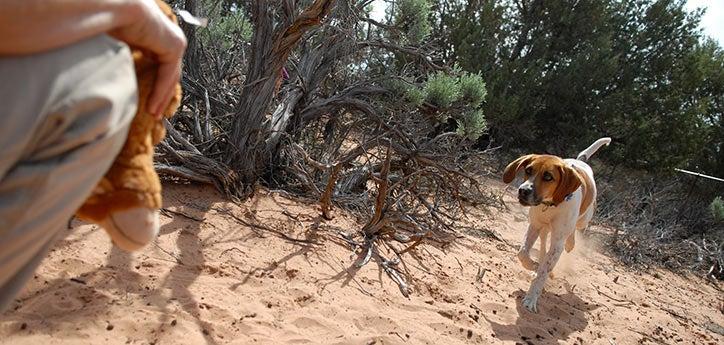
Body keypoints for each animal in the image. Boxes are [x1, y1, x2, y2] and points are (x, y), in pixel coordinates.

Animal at [504, 136, 612, 312]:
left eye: (548, 177)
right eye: (528, 170)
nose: (523, 191)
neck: (550, 204)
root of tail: (579, 161)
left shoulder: (557, 243)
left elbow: (543, 271)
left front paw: (531, 298)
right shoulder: (534, 226)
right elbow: (523, 253)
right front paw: (534, 266)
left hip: (583, 219)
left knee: (575, 229)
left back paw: (570, 243)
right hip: (544, 229)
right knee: (543, 243)